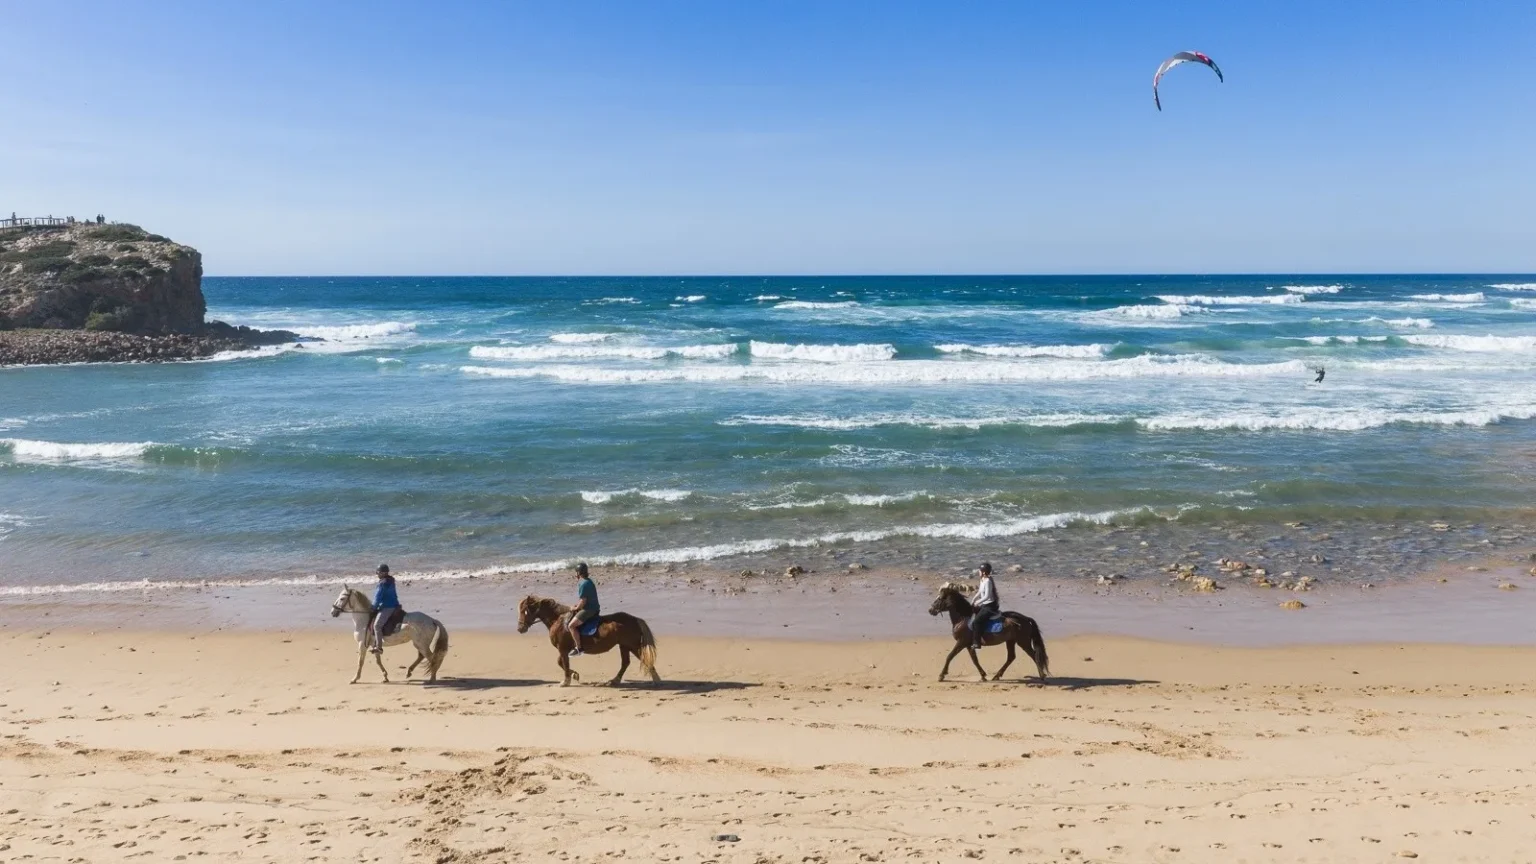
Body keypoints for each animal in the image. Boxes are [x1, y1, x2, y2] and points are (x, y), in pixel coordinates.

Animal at [516, 595, 659, 687]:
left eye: (524, 611)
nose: (520, 628)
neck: (558, 620)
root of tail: (635, 619)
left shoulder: (563, 649)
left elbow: (564, 663)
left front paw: (566, 681)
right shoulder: (564, 649)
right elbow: (560, 662)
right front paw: (574, 675)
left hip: (632, 646)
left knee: (643, 660)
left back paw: (656, 680)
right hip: (624, 646)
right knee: (625, 663)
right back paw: (614, 681)